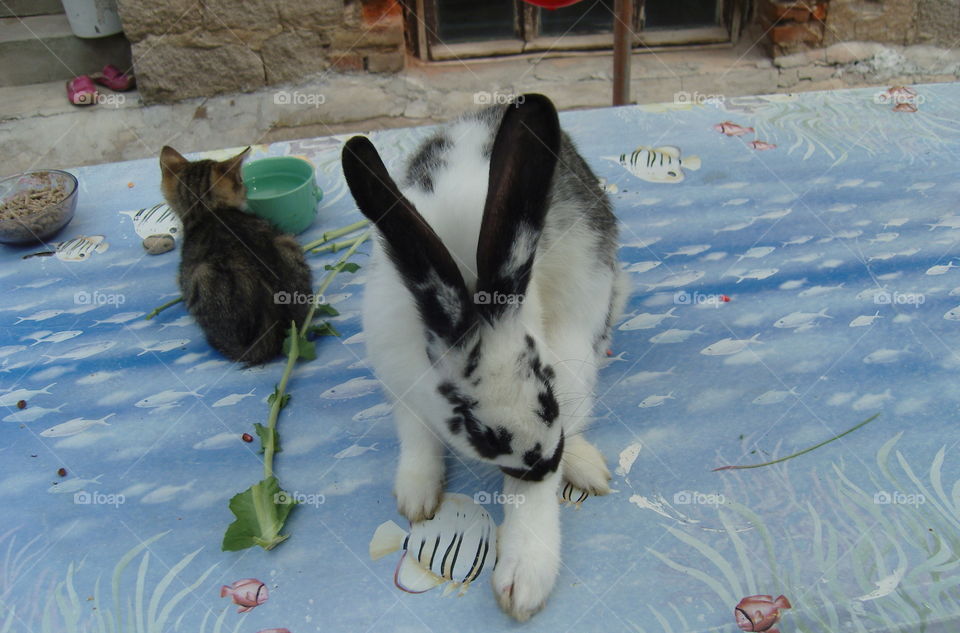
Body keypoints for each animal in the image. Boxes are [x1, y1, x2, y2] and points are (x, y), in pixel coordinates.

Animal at [342, 95, 628, 624]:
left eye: (547, 391)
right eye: (473, 427)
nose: (543, 464)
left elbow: (530, 497)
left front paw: (524, 578)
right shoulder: (400, 377)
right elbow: (416, 435)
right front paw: (417, 496)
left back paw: (584, 466)